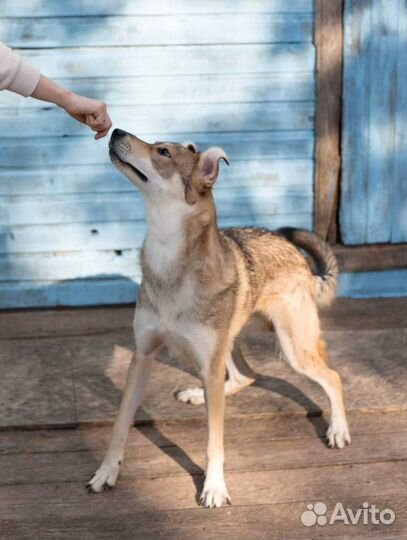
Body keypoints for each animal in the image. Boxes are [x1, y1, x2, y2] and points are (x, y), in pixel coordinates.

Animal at [87, 129, 352, 508]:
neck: (169, 260)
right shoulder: (142, 356)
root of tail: (296, 255)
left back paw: (338, 429)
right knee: (246, 376)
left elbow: (214, 441)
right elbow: (121, 424)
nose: (115, 131)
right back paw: (199, 394)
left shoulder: (204, 364)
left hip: (291, 348)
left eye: (163, 152)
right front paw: (107, 472)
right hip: (228, 345)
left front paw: (214, 487)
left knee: (332, 377)